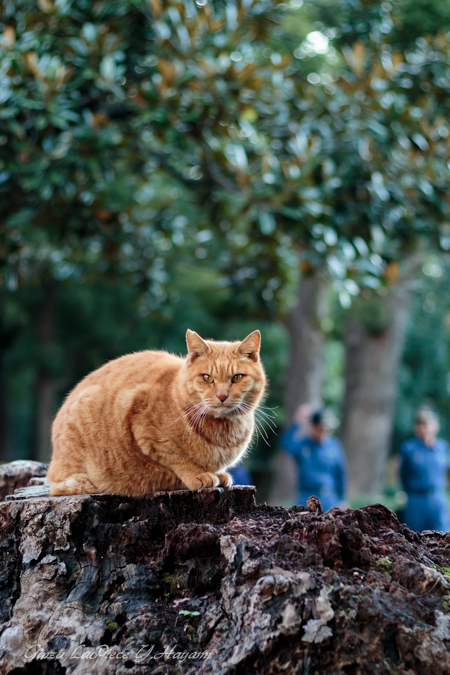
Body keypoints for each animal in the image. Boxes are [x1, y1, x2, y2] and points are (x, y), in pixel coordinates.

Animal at [48, 332, 268, 496]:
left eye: (237, 377)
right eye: (207, 378)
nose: (222, 396)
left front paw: (219, 474)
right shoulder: (144, 429)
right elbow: (177, 459)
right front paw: (198, 475)